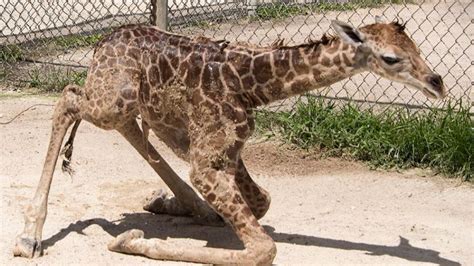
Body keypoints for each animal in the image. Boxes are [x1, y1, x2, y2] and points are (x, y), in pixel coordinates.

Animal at [13, 19, 444, 264]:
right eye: (390, 58)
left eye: (418, 48)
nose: (437, 83)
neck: (249, 86)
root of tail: (102, 42)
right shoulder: (209, 161)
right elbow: (264, 249)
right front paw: (130, 241)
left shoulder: (227, 152)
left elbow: (263, 200)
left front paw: (174, 205)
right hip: (111, 100)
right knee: (69, 97)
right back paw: (30, 236)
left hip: (143, 111)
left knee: (126, 125)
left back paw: (183, 206)